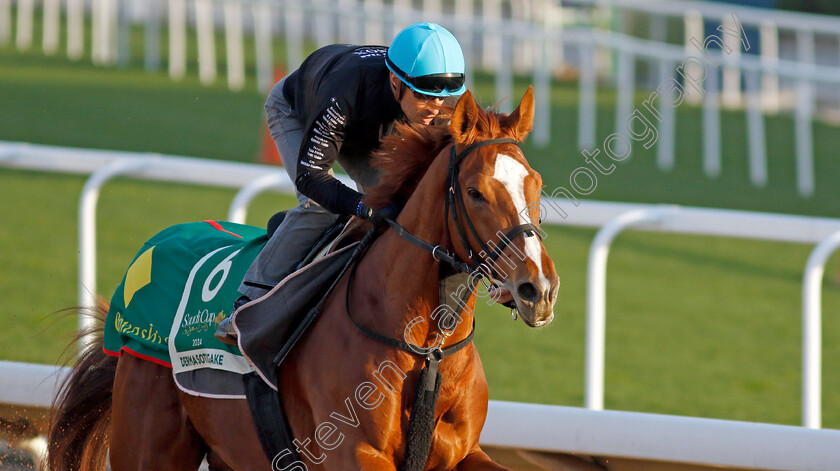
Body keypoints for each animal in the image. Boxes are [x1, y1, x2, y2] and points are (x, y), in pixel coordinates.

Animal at [46, 86, 556, 470]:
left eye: (536, 184)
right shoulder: (353, 454)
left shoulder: (463, 453)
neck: (424, 347)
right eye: (474, 192)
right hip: (150, 442)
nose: (538, 289)